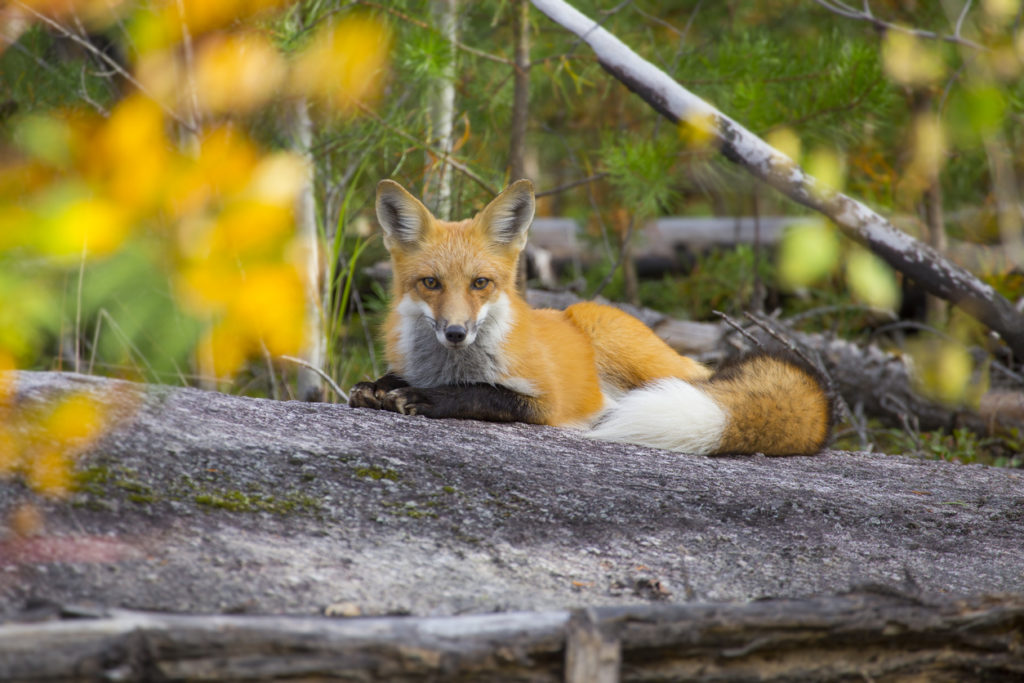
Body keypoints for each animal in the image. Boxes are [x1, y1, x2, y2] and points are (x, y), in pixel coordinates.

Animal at [348, 179, 835, 456]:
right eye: (430, 283)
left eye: (480, 283)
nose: (455, 332)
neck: (451, 366)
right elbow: (394, 379)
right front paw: (379, 386)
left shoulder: (547, 402)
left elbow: (484, 394)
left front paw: (429, 398)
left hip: (618, 345)